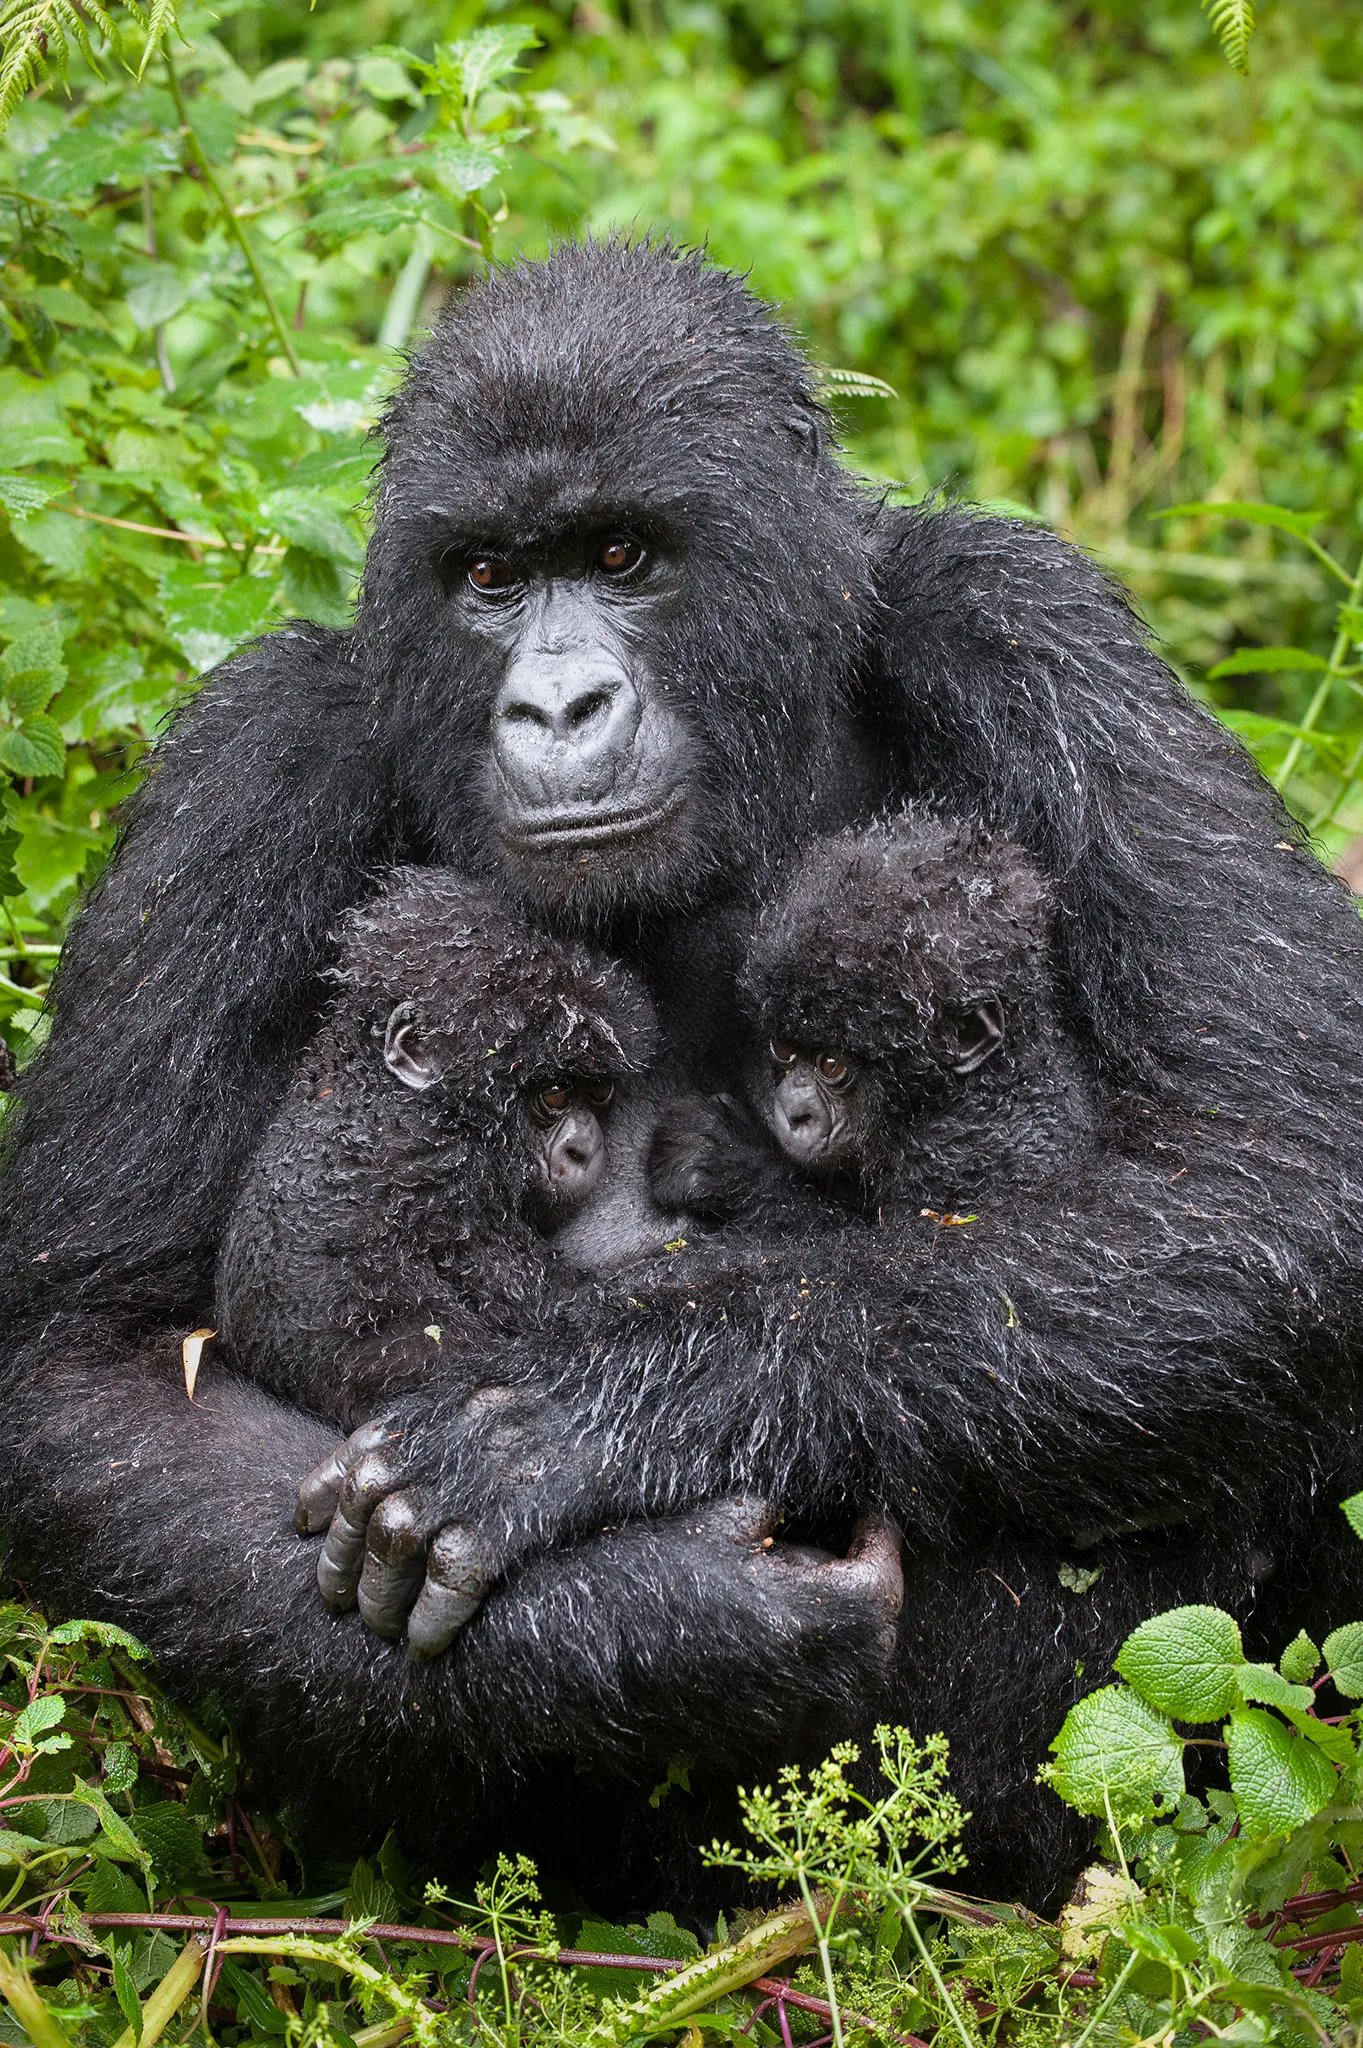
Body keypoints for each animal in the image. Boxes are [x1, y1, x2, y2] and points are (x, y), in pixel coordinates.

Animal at [2, 247, 1358, 1908]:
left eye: (622, 553)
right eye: (488, 580)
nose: (555, 708)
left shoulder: (1023, 627)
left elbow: (1279, 1173)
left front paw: (598, 1412)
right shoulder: (258, 757)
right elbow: (93, 1365)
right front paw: (652, 1612)